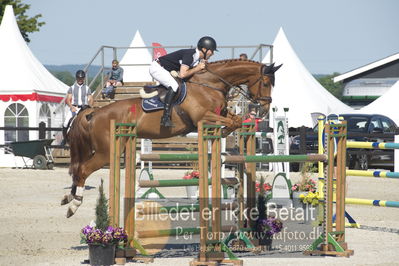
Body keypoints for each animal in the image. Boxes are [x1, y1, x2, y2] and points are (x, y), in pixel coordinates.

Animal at [61, 59, 282, 217]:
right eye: (265, 82)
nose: (264, 110)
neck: (210, 84)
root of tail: (93, 113)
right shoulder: (203, 117)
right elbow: (231, 122)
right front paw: (225, 131)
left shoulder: (218, 113)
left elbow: (235, 119)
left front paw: (228, 130)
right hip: (106, 152)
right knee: (82, 170)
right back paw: (74, 204)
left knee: (78, 170)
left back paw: (68, 197)